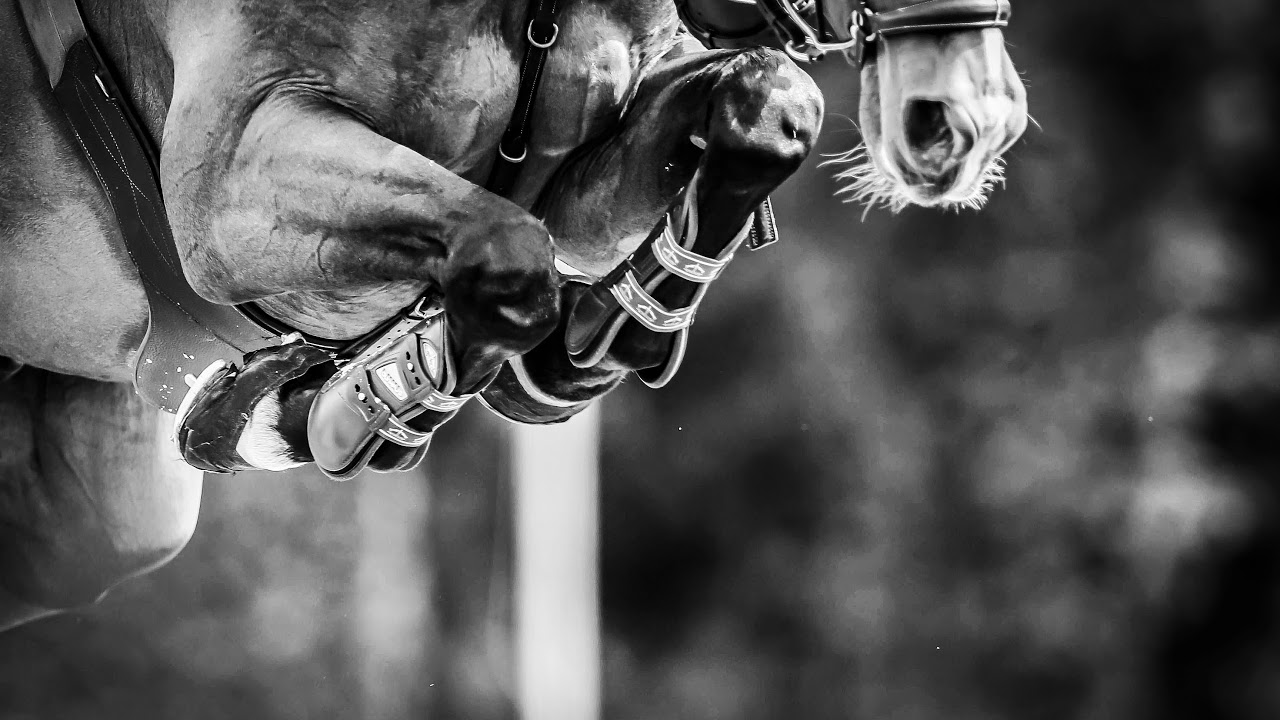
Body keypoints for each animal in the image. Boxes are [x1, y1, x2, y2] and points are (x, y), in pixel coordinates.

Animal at [0, 0, 1027, 630]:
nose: (970, 119)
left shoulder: (588, 159)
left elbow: (768, 102)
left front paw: (604, 337)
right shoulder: (232, 181)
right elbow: (507, 253)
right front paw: (367, 398)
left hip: (104, 511)